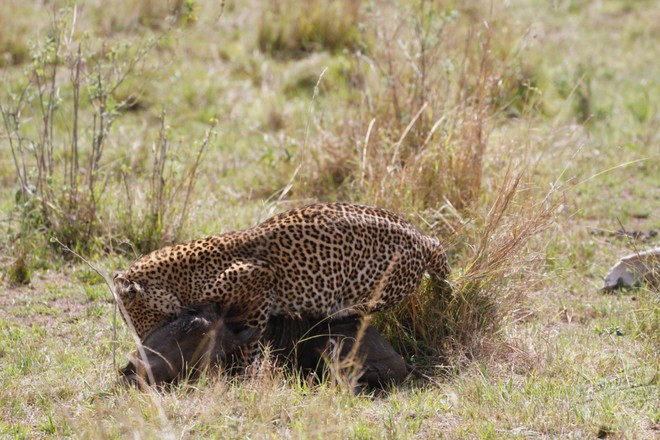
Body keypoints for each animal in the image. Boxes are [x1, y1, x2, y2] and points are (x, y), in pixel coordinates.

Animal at [114, 203, 448, 358]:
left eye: (134, 317)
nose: (143, 340)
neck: (180, 280)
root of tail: (420, 238)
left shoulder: (260, 280)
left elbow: (251, 334)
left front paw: (245, 370)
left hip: (378, 283)